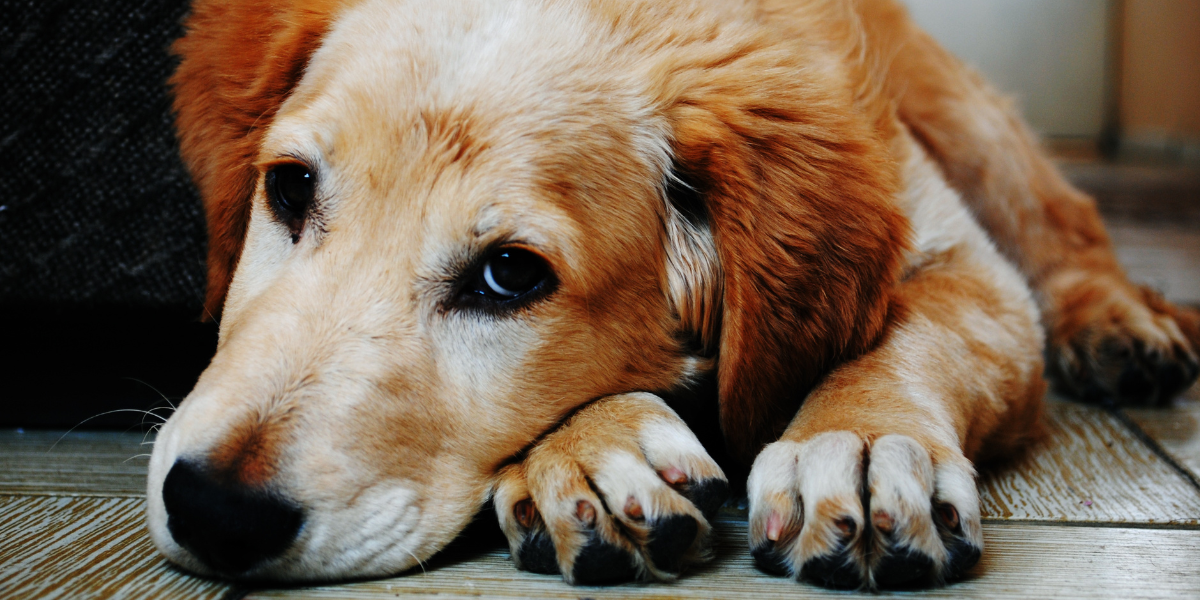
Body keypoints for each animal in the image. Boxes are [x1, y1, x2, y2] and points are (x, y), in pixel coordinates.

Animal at [150, 0, 1200, 590]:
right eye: (289, 189)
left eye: (510, 275)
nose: (212, 511)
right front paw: (592, 452)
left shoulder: (967, 269)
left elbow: (911, 338)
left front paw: (858, 441)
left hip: (963, 115)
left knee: (1064, 222)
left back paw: (1121, 325)